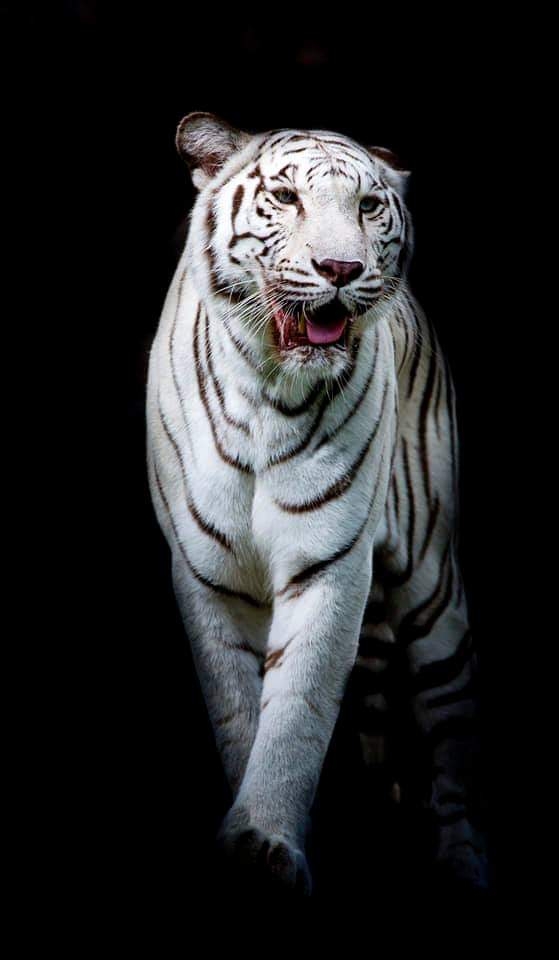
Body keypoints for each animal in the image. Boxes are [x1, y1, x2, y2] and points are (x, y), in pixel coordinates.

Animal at [146, 112, 487, 895]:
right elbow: (240, 710)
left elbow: (298, 708)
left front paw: (266, 840)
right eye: (285, 197)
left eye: (367, 207)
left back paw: (462, 863)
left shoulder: (330, 561)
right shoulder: (207, 571)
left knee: (451, 734)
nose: (340, 270)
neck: (267, 390)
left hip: (432, 588)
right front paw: (251, 841)